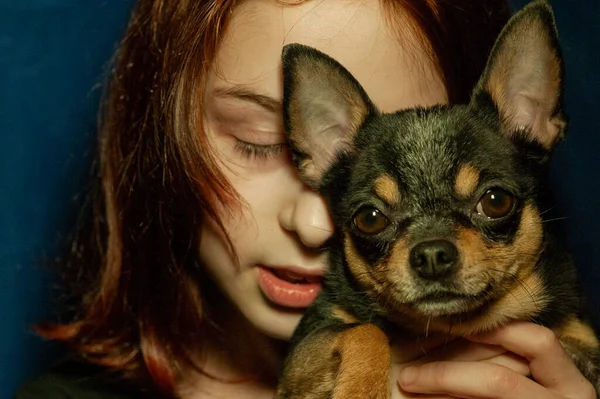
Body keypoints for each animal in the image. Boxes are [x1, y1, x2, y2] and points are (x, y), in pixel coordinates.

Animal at [276, 1, 600, 398]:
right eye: (369, 218)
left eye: (496, 201)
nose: (431, 255)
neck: (458, 326)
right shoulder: (307, 344)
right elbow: (366, 330)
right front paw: (362, 388)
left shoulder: (577, 334)